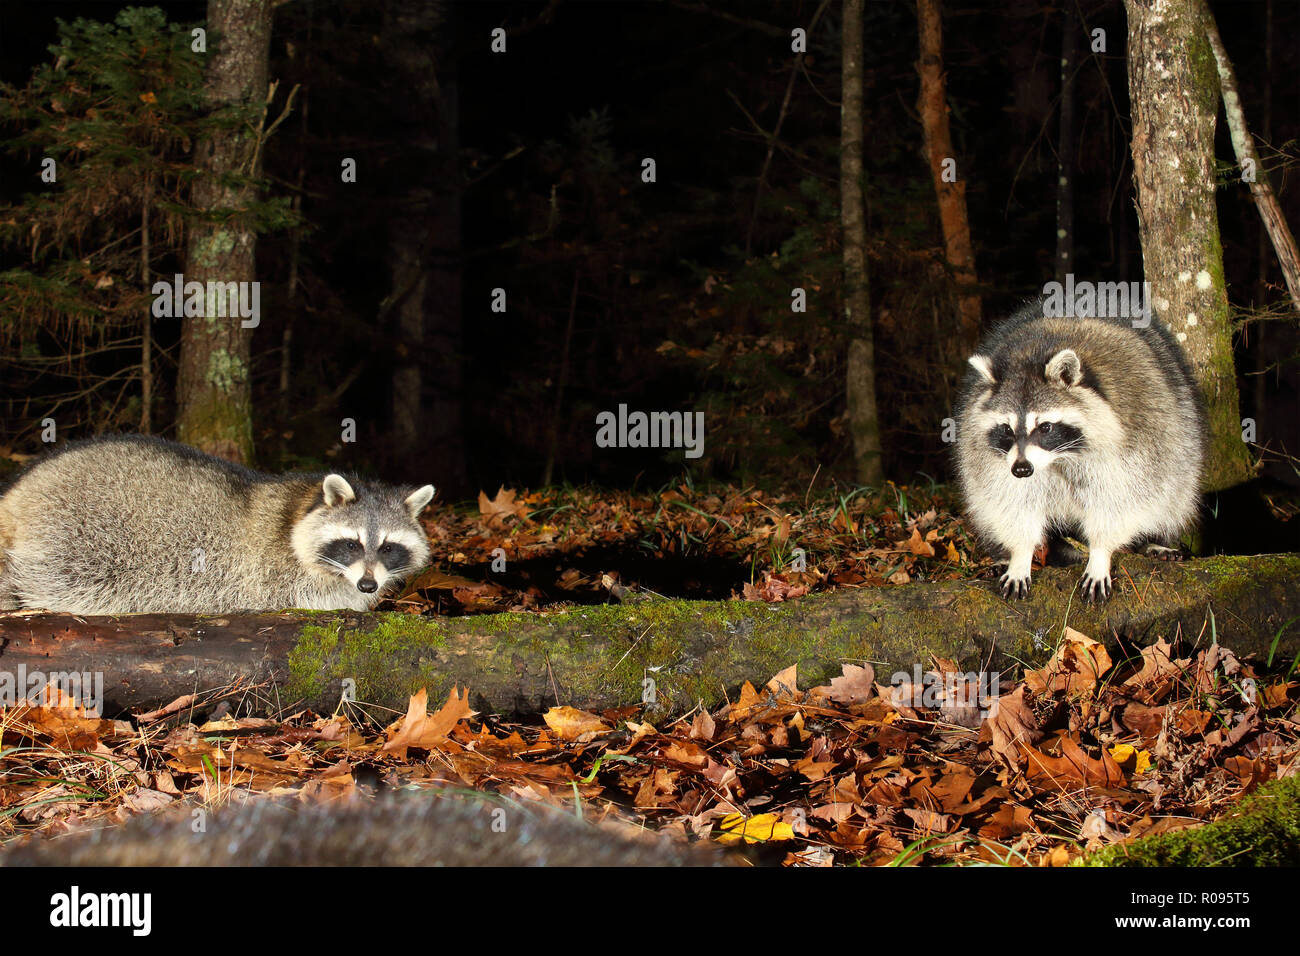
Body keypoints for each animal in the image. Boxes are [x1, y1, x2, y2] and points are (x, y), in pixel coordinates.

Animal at [0, 434, 436, 613]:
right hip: (78, 532)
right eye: (351, 544)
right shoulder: (273, 574)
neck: (298, 508)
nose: (368, 585)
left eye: (388, 547)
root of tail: (21, 487)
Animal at [956, 299, 1206, 600]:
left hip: (1179, 430)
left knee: (1172, 495)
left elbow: (1121, 500)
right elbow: (1010, 501)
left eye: (1045, 427)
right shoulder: (993, 458)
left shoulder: (1135, 442)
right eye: (1006, 429)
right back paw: (1001, 555)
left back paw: (1155, 541)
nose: (1022, 469)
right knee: (985, 506)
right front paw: (1019, 554)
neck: (1057, 458)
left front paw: (1100, 552)